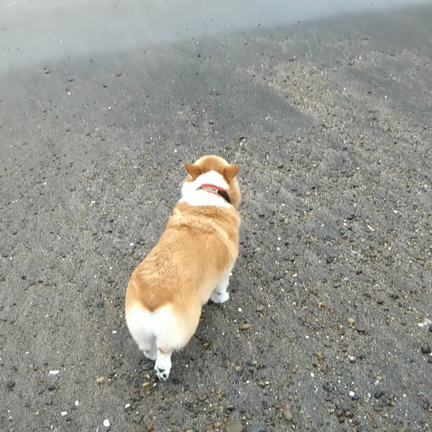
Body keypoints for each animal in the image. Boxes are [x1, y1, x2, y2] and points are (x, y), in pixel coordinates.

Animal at [125, 155, 241, 381]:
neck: (210, 190)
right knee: (165, 350)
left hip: (139, 330)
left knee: (147, 347)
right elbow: (221, 289)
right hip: (183, 327)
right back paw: (163, 369)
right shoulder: (225, 272)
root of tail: (153, 294)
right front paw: (222, 299)